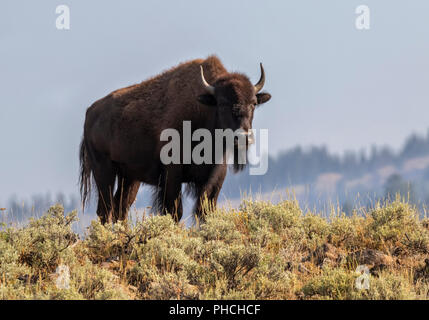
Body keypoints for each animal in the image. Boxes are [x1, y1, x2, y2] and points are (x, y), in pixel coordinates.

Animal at [78, 55, 270, 224]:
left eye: (253, 103)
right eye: (222, 103)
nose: (243, 137)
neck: (204, 109)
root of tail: (90, 112)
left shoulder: (214, 178)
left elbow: (205, 212)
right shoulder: (172, 175)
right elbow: (175, 212)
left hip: (130, 178)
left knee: (121, 207)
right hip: (104, 171)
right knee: (105, 209)